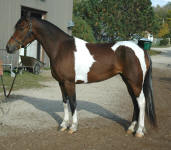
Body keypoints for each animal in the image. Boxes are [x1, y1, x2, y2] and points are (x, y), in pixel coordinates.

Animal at [5, 16, 156, 137]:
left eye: (22, 28)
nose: (8, 47)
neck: (60, 48)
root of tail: (141, 50)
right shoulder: (61, 83)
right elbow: (65, 102)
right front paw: (63, 125)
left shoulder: (69, 83)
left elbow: (73, 103)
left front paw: (73, 127)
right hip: (128, 82)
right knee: (135, 103)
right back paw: (131, 128)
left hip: (135, 82)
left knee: (141, 102)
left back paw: (139, 131)